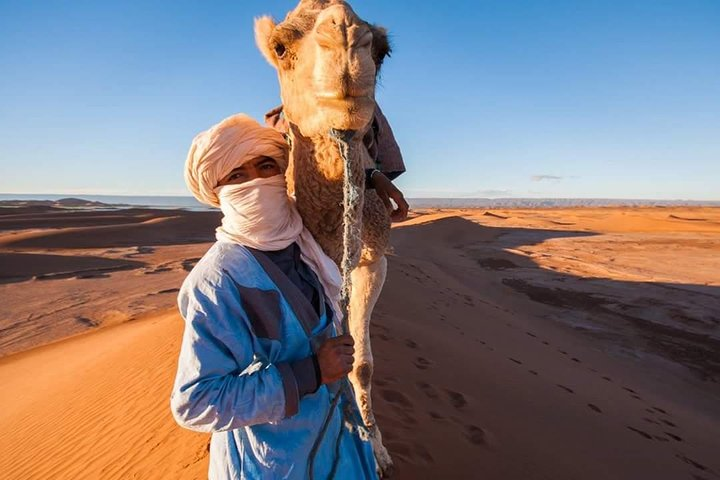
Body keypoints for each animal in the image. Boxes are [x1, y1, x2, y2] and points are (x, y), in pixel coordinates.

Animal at [254, 0, 395, 475]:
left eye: (384, 50)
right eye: (280, 47)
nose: (346, 35)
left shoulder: (373, 258)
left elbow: (364, 364)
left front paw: (377, 450)